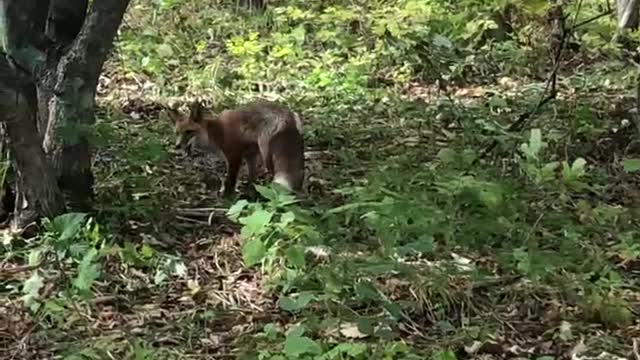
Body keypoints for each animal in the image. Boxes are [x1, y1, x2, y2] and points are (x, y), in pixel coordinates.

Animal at [165, 100, 304, 197]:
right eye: (177, 133)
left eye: (189, 132)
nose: (177, 146)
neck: (215, 133)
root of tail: (288, 116)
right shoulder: (250, 155)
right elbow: (252, 178)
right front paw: (250, 193)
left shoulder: (234, 156)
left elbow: (230, 181)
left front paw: (227, 197)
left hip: (267, 156)